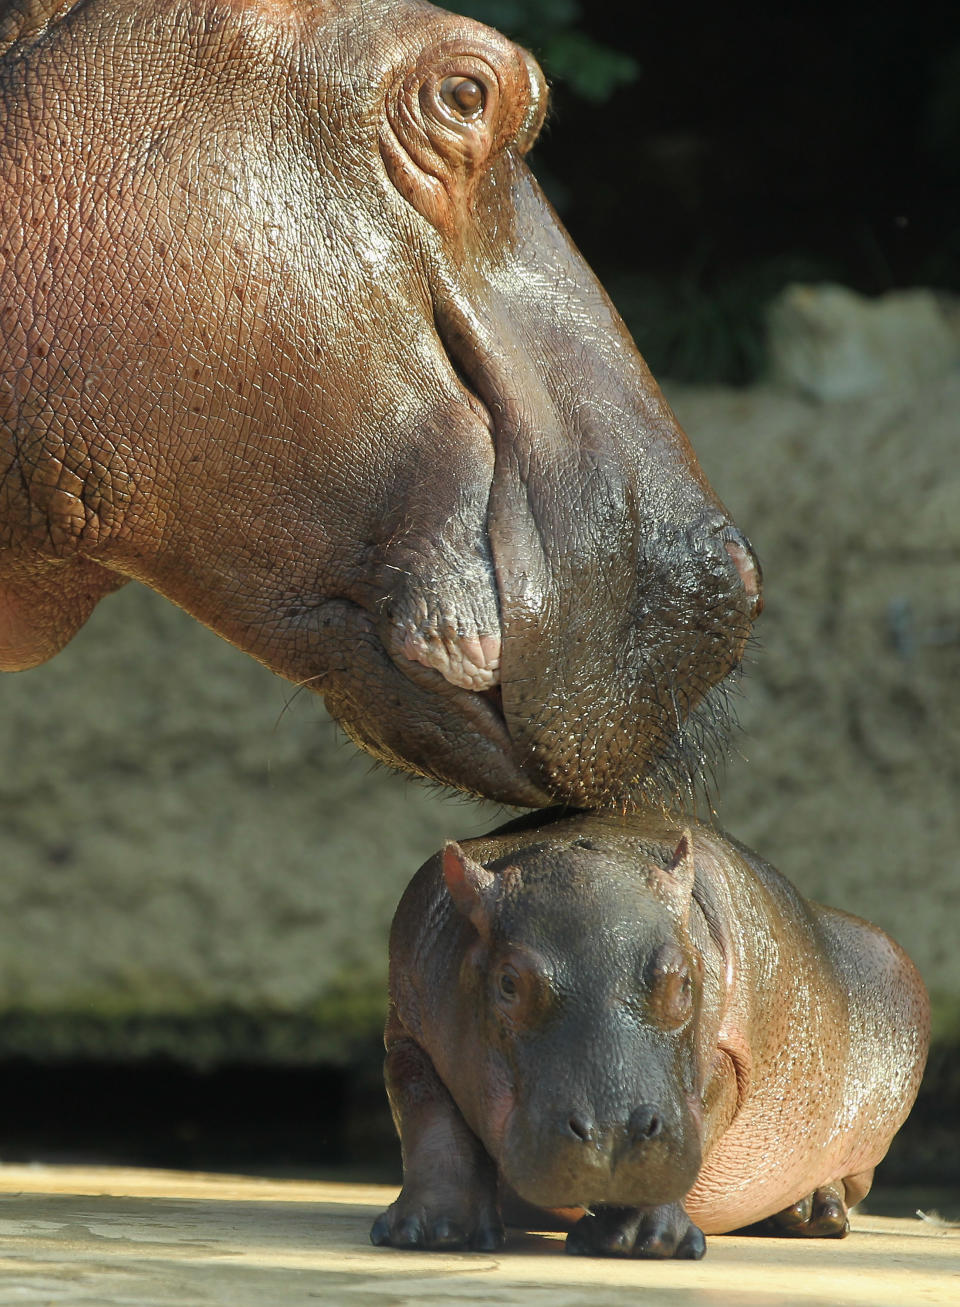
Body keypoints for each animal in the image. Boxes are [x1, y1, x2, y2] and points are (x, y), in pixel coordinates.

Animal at [373, 805, 929, 1254]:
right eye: (508, 982)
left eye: (683, 979)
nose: (612, 1136)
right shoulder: (406, 1037)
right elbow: (432, 1118)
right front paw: (435, 1233)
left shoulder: (727, 1060)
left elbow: (701, 1113)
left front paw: (640, 1240)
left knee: (848, 1183)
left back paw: (808, 1212)